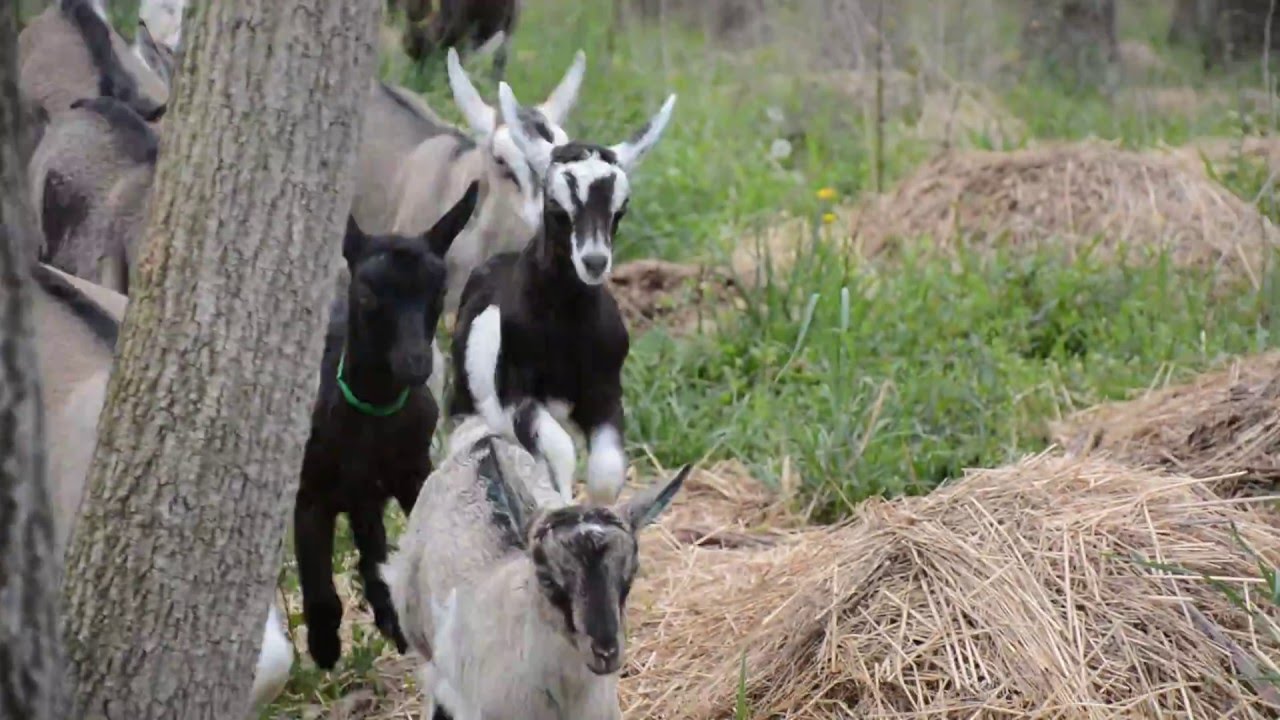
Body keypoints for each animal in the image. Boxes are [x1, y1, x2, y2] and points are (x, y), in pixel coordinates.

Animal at [294, 183, 479, 670]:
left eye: (440, 290)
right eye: (368, 293)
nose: (417, 364)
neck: (372, 412)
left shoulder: (413, 474)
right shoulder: (309, 493)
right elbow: (321, 591)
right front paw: (325, 647)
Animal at [447, 82, 677, 505]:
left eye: (620, 208)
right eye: (556, 203)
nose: (594, 261)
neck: (566, 331)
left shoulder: (605, 396)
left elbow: (606, 473)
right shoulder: (520, 399)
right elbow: (559, 454)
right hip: (470, 405)